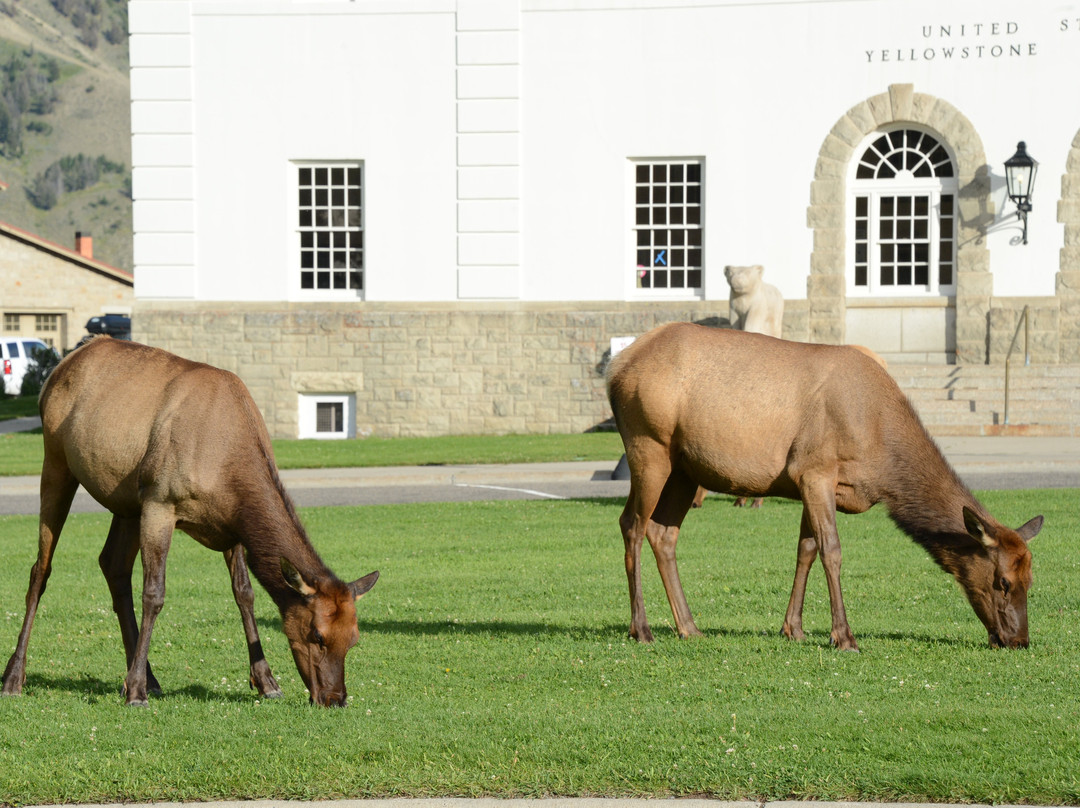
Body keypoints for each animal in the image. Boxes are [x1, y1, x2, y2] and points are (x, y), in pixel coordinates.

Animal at [1, 337, 380, 704]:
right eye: (317, 635)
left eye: (355, 638)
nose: (335, 698)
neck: (229, 469)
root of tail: (61, 365)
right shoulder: (160, 501)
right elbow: (154, 593)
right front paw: (135, 692)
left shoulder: (231, 526)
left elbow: (244, 593)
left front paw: (266, 682)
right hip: (58, 463)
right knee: (41, 569)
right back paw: (16, 678)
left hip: (128, 500)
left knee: (113, 564)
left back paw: (147, 677)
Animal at [604, 321, 1041, 648]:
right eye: (1003, 582)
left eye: (1031, 580)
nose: (1019, 640)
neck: (881, 456)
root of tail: (615, 368)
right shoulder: (814, 470)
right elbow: (831, 551)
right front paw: (843, 636)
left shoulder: (811, 481)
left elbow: (806, 550)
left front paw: (793, 629)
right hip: (649, 446)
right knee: (632, 525)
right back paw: (641, 629)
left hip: (685, 468)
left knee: (663, 533)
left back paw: (689, 626)